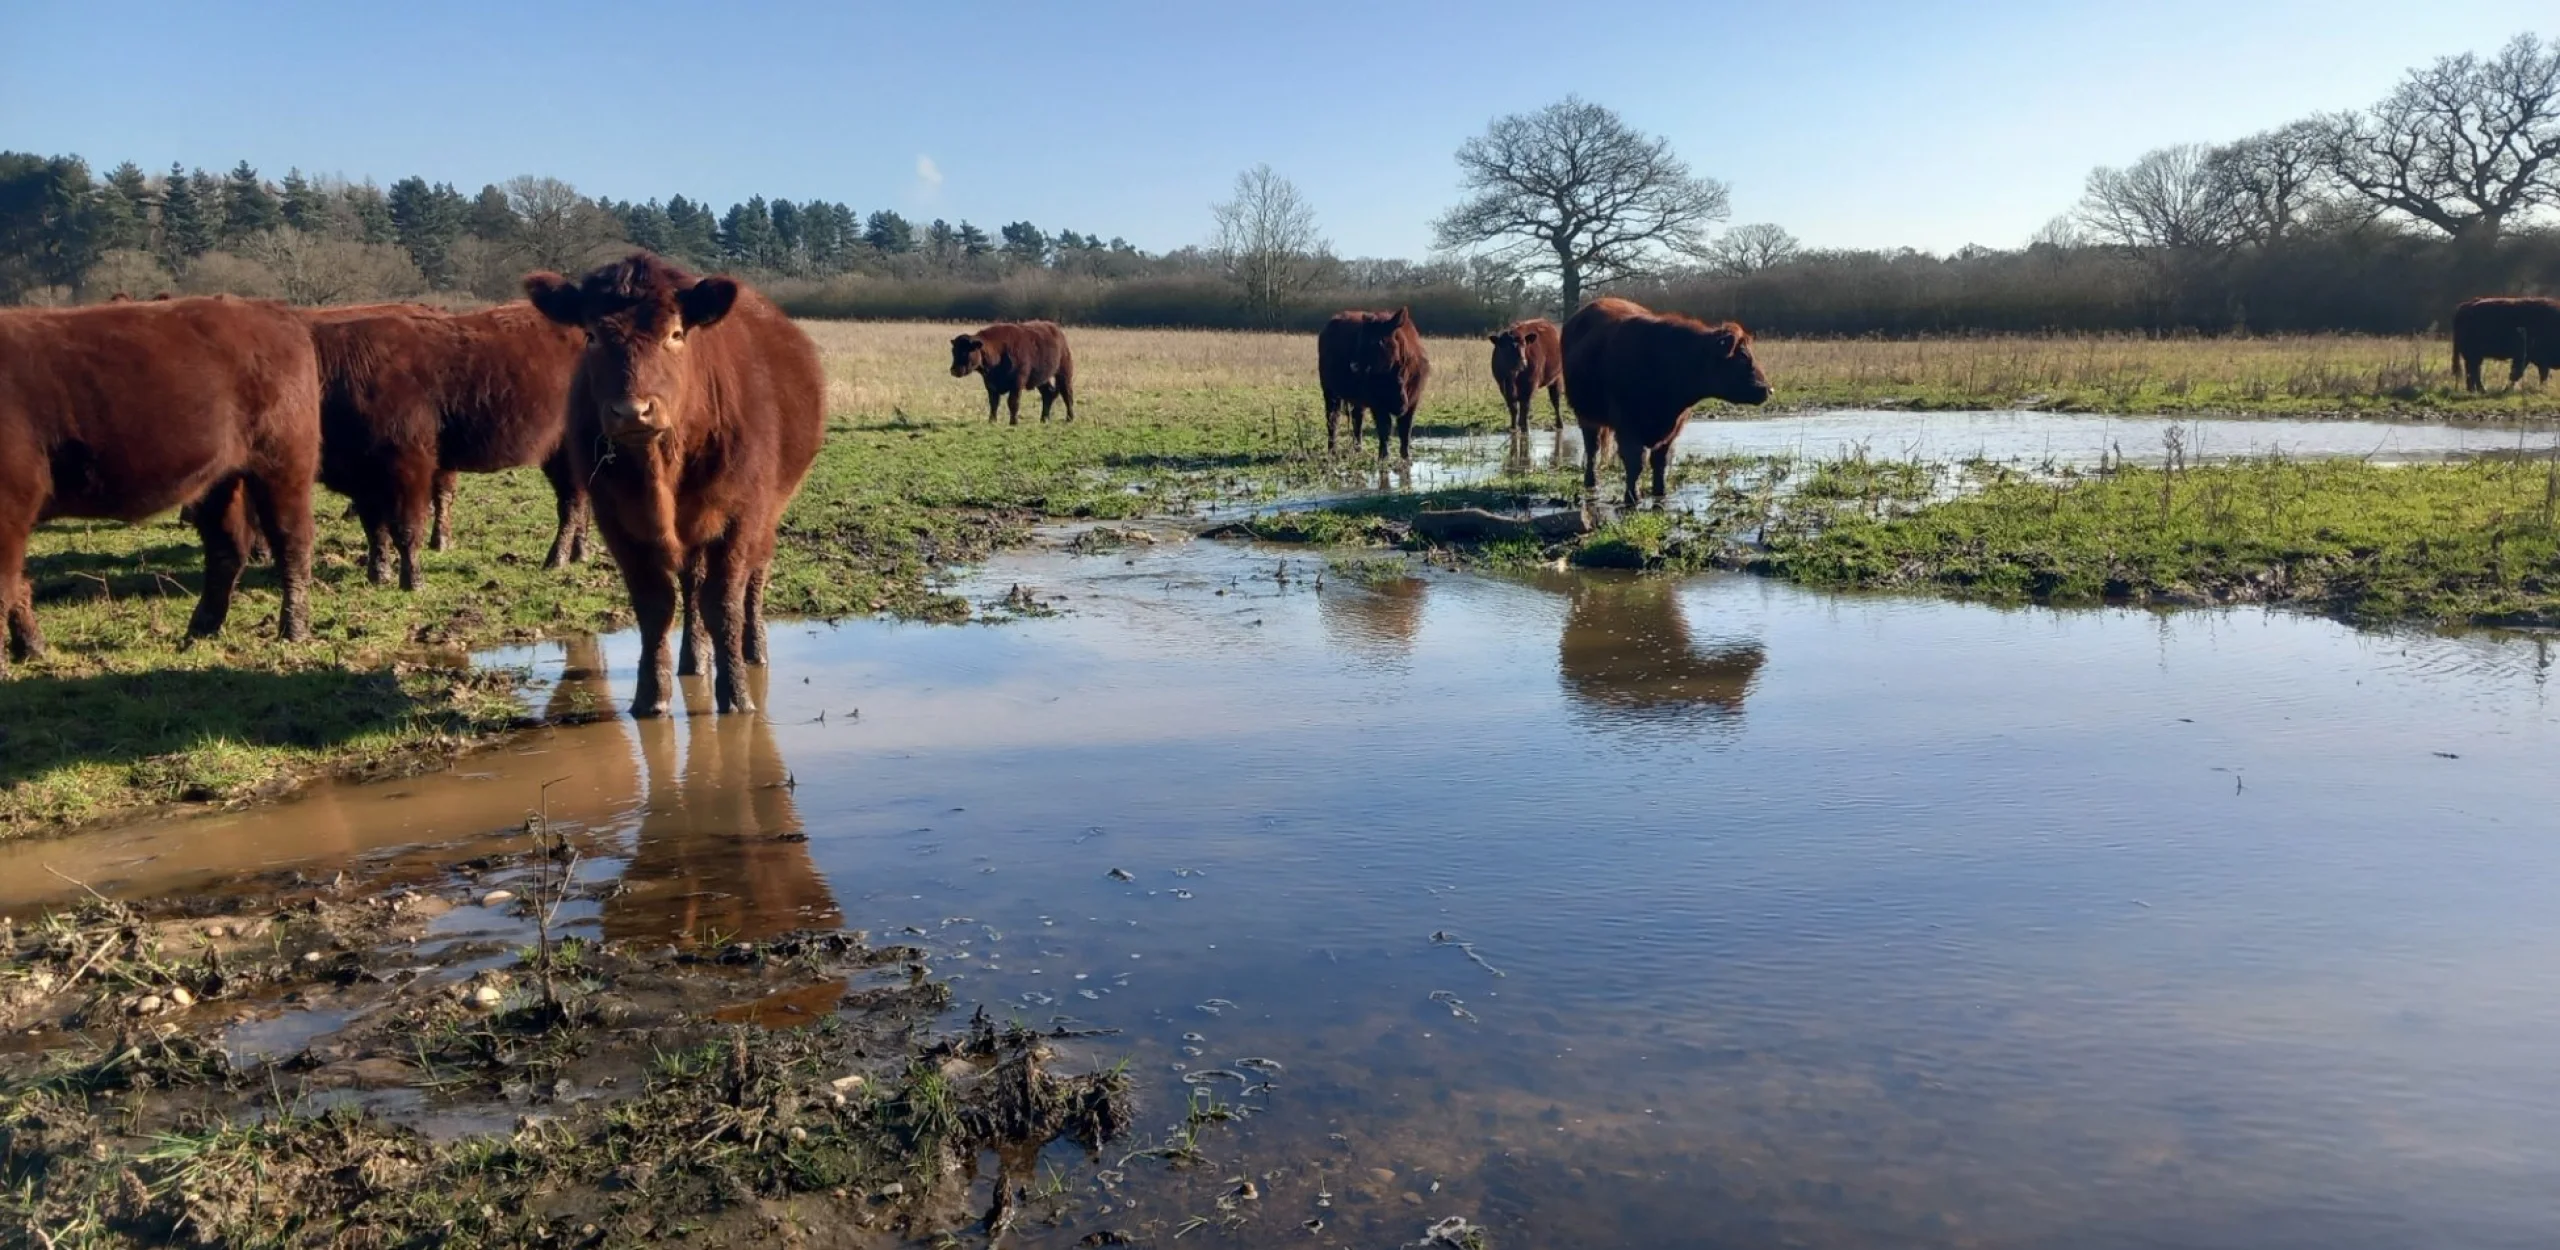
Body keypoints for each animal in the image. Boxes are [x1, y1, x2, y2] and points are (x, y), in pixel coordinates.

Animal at [0, 295, 321, 675]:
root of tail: (270, 310)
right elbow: (16, 583)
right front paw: (31, 647)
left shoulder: (11, 503)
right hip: (219, 480)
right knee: (227, 548)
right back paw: (201, 630)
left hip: (283, 464)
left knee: (292, 542)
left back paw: (293, 630)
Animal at [305, 303, 589, 590]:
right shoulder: (364, 480)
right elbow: (376, 530)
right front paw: (378, 575)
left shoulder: (408, 469)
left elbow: (406, 528)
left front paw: (413, 581)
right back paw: (580, 553)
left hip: (565, 455)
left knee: (571, 504)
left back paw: (557, 558)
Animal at [526, 252, 825, 718]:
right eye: (591, 335)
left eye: (676, 333)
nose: (632, 410)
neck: (662, 470)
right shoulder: (618, 522)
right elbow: (656, 606)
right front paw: (652, 695)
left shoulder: (741, 517)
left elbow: (724, 603)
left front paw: (736, 696)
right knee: (692, 583)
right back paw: (693, 660)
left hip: (768, 513)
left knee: (753, 577)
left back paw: (753, 651)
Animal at [1317, 307, 1430, 460]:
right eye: (1359, 340)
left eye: (1377, 342)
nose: (1353, 365)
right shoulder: (1377, 402)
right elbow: (1384, 428)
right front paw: (1383, 456)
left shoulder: (1413, 399)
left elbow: (1405, 429)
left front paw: (1406, 456)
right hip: (1330, 390)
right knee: (1333, 418)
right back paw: (1332, 450)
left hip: (1356, 398)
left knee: (1357, 418)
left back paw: (1358, 448)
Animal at [1561, 297, 1771, 508]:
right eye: (1742, 357)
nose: (1768, 389)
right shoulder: (1627, 425)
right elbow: (1635, 463)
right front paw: (1632, 497)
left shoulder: (1673, 428)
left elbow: (1660, 462)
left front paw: (1660, 494)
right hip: (1585, 415)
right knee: (1592, 449)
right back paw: (1591, 482)